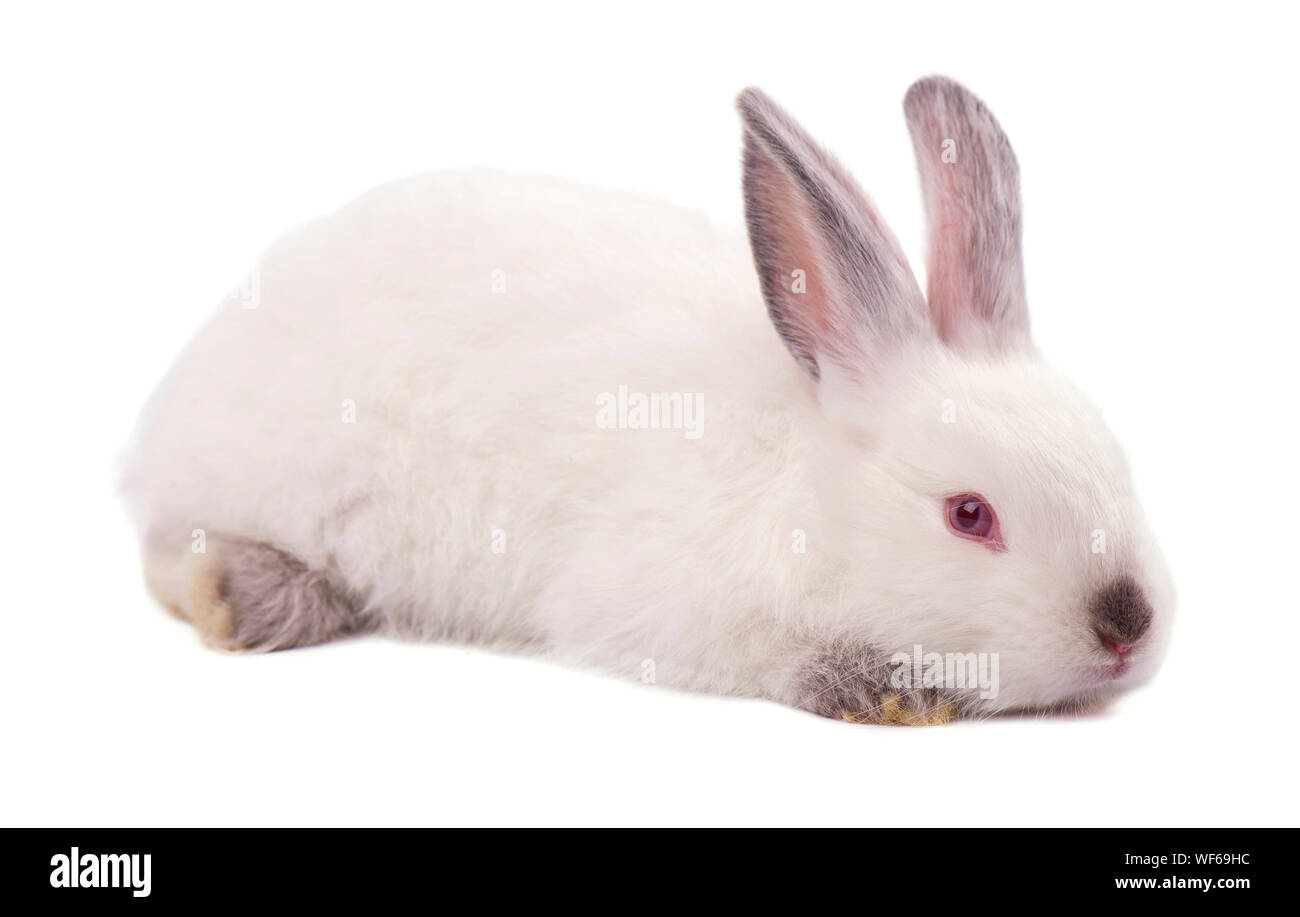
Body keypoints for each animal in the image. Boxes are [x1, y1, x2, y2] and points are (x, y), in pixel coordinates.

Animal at [121, 76, 1173, 725]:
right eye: (969, 515)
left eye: (1121, 468)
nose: (1126, 627)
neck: (806, 493)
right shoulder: (648, 603)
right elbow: (762, 654)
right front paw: (885, 692)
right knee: (168, 550)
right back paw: (249, 596)